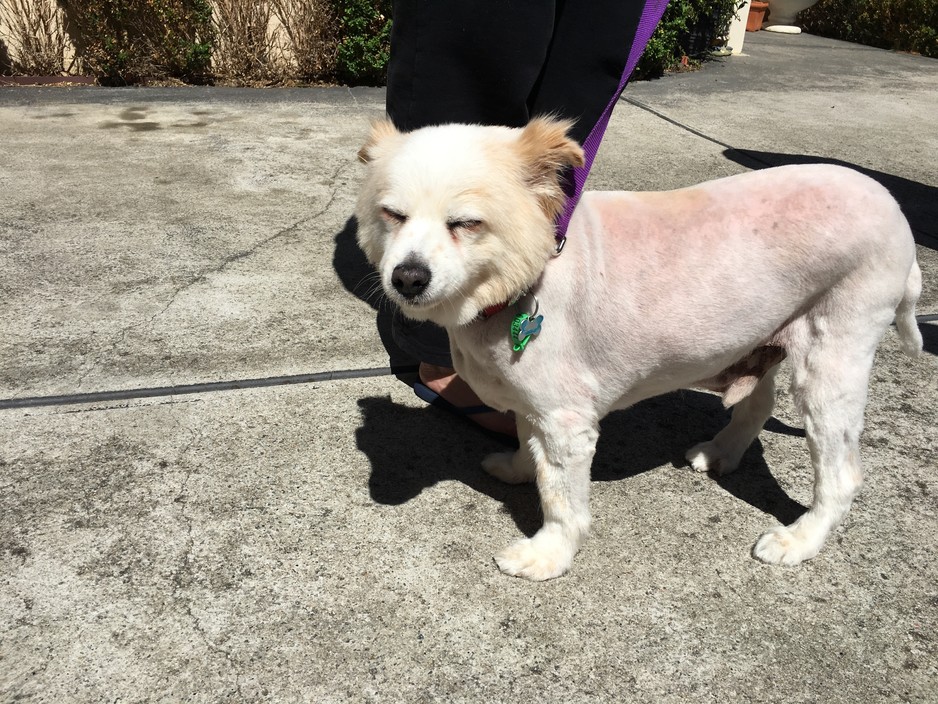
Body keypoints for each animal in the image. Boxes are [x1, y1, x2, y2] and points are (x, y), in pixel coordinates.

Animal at [352, 118, 920, 580]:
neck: (528, 280)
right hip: (764, 339)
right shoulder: (535, 404)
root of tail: (894, 209)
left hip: (831, 358)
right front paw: (517, 468)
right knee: (758, 403)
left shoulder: (567, 421)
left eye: (466, 223)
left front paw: (548, 555)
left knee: (841, 474)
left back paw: (800, 540)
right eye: (392, 214)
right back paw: (722, 452)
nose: (407, 278)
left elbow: (561, 498)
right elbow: (529, 446)